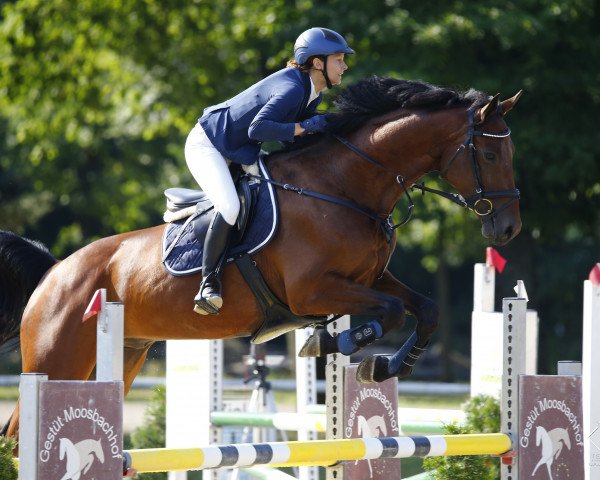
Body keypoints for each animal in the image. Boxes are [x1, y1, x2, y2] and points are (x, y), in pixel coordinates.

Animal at [0, 77, 524, 440]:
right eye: (490, 155)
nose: (508, 229)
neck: (345, 186)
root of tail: (54, 272)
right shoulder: (313, 290)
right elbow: (390, 312)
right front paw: (333, 344)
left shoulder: (372, 277)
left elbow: (425, 310)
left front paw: (385, 366)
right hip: (57, 359)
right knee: (18, 432)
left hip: (121, 355)